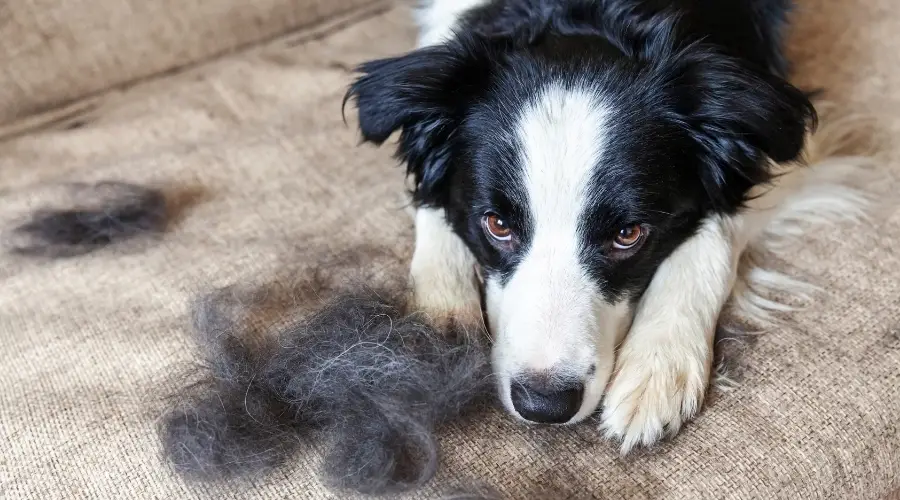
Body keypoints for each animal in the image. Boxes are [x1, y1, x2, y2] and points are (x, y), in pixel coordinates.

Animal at [342, 0, 856, 454]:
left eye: (628, 235)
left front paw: (657, 366)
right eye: (497, 224)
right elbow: (433, 203)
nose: (544, 404)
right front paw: (442, 319)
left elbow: (713, 232)